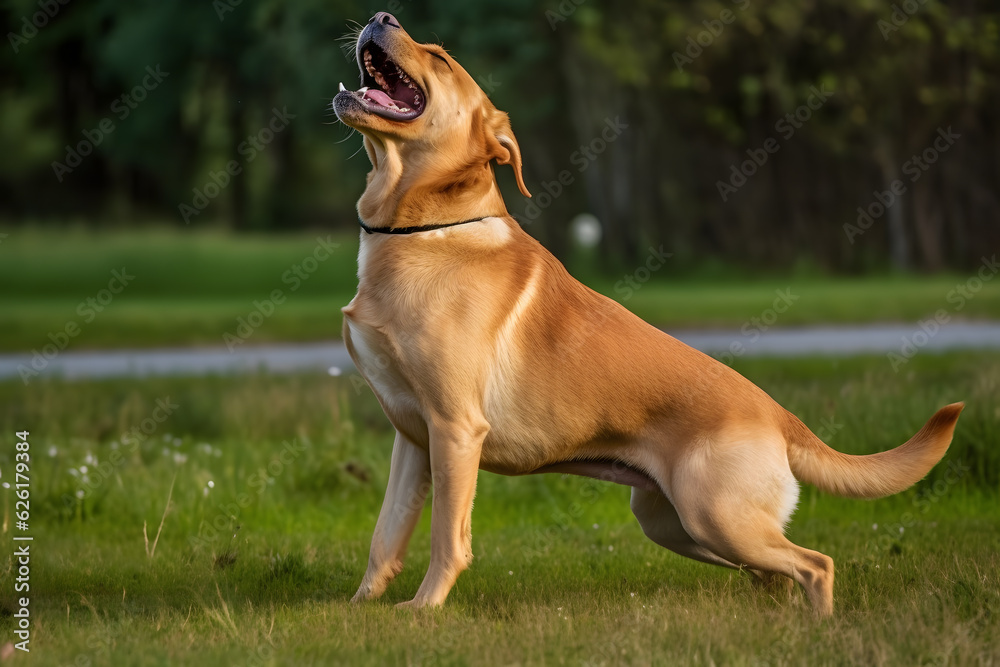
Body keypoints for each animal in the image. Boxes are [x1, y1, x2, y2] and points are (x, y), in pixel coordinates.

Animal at [334, 11, 960, 616]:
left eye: (440, 58)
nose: (382, 15)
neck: (419, 229)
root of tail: (782, 416)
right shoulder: (414, 438)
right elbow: (385, 536)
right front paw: (356, 607)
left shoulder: (456, 430)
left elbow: (447, 539)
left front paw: (424, 610)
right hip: (677, 524)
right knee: (776, 574)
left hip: (716, 518)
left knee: (815, 564)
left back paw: (820, 630)